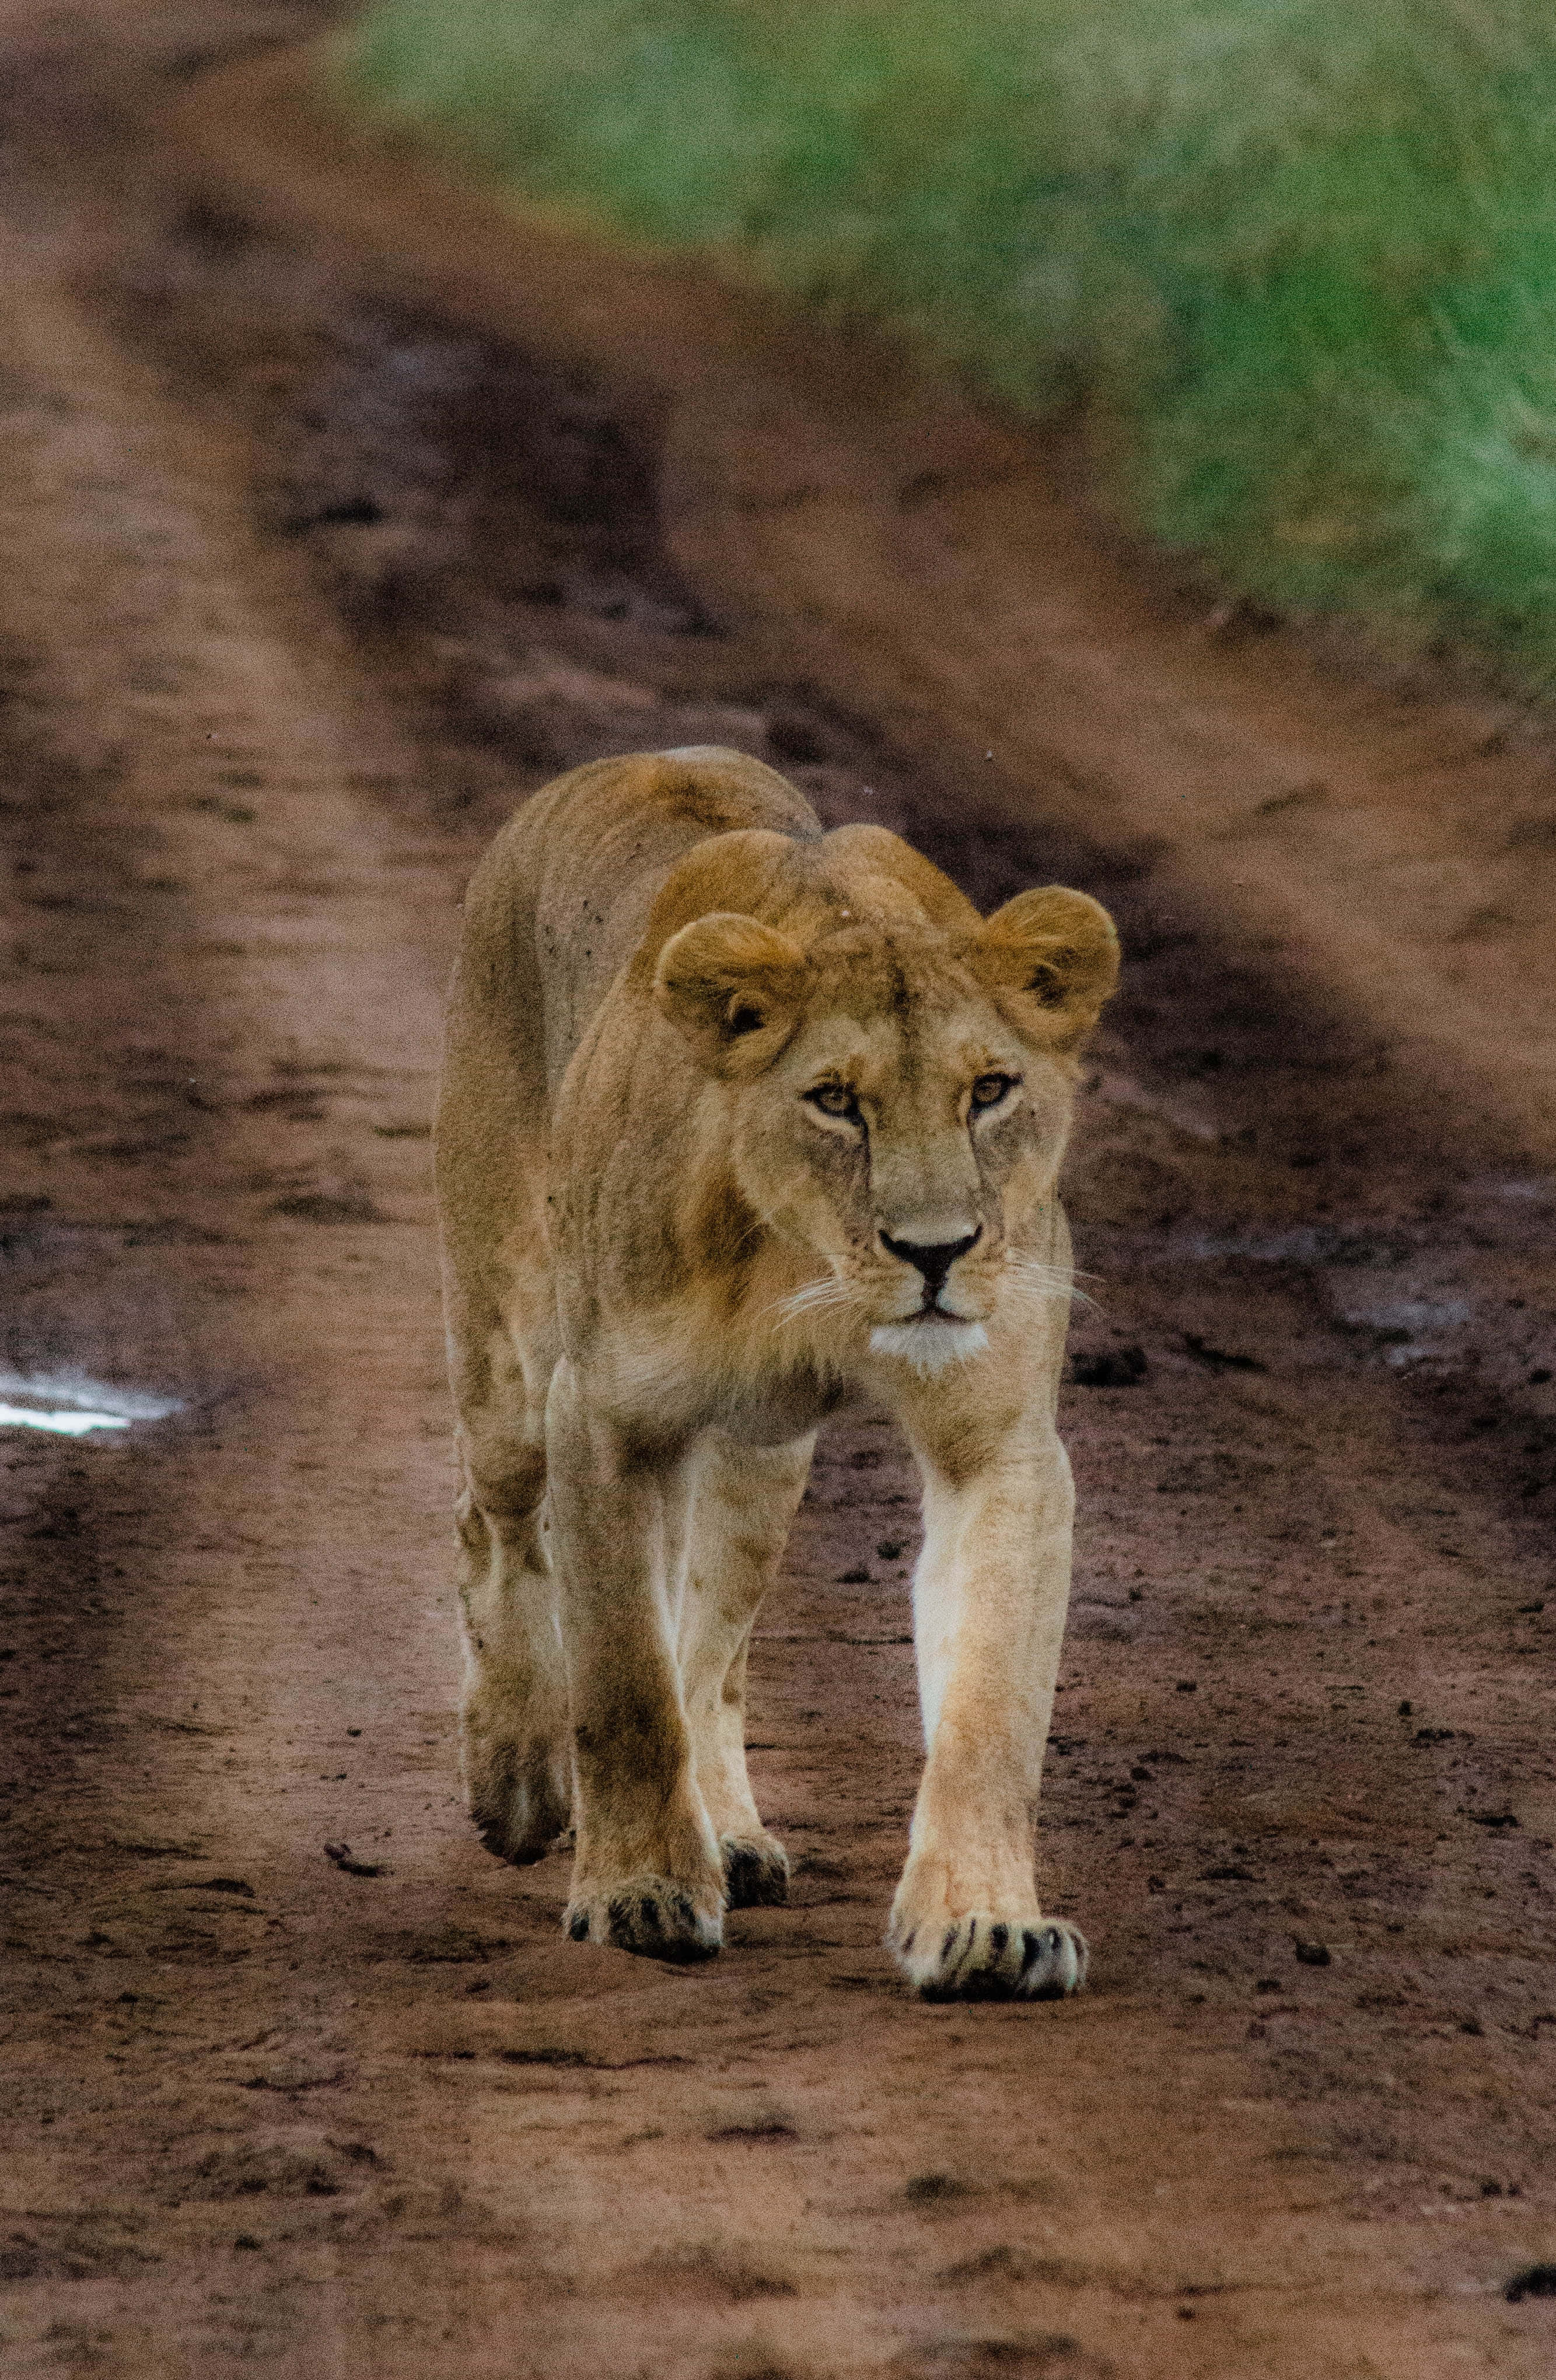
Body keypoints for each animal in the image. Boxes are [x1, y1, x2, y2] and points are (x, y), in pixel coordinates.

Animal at [435, 746, 1118, 1999]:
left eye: (989, 1090)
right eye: (835, 1101)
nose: (937, 1251)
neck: (803, 1264)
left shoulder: (998, 1444)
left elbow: (989, 1709)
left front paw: (986, 1925)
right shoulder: (605, 1418)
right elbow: (624, 1683)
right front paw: (639, 1894)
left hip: (762, 1459)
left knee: (714, 1649)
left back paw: (730, 1834)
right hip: (507, 1338)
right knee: (495, 1522)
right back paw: (516, 1781)